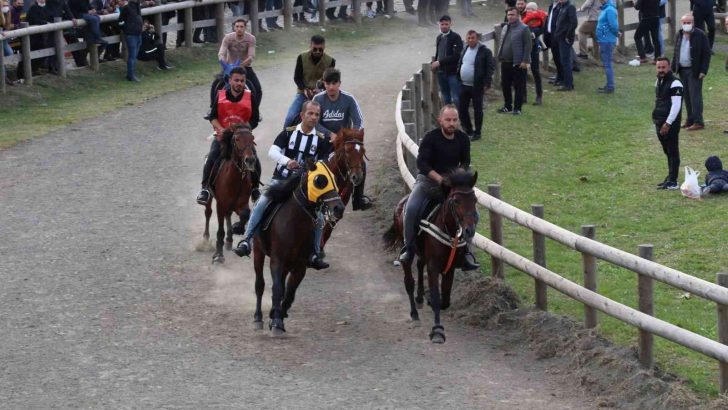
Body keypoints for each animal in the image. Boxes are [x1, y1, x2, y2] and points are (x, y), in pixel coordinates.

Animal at [205, 122, 258, 262]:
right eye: (237, 139)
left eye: (252, 138)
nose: (250, 160)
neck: (236, 178)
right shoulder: (220, 204)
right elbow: (220, 230)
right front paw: (218, 255)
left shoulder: (241, 203)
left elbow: (245, 213)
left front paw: (237, 228)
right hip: (210, 196)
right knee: (208, 212)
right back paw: (205, 239)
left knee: (228, 215)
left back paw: (229, 239)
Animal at [252, 160, 346, 336]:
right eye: (320, 180)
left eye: (335, 179)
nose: (339, 208)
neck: (295, 223)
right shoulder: (277, 260)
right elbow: (277, 288)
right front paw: (276, 321)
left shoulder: (300, 265)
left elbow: (289, 293)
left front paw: (278, 317)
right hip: (258, 251)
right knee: (260, 284)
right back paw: (258, 318)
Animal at [384, 168, 480, 344]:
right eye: (456, 201)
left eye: (475, 199)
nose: (469, 230)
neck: (448, 230)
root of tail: (402, 202)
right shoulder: (434, 266)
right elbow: (436, 297)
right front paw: (437, 331)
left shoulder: (450, 268)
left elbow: (445, 300)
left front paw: (428, 299)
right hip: (406, 248)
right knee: (409, 280)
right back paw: (414, 313)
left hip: (422, 255)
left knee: (419, 266)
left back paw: (420, 298)